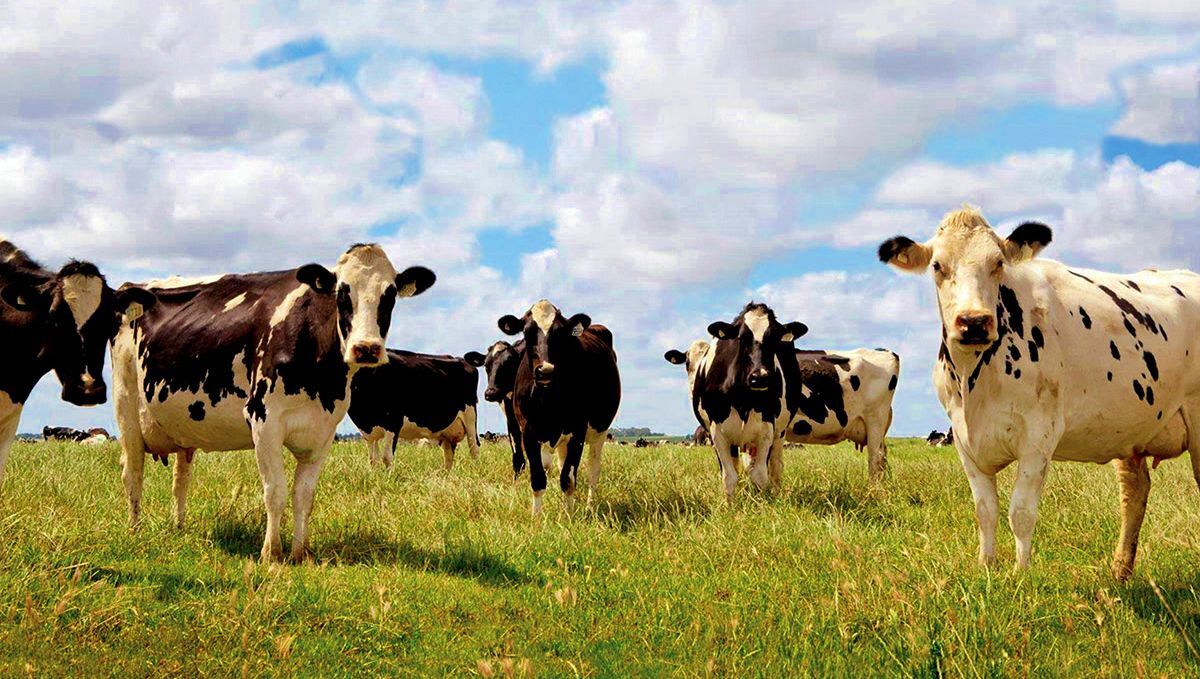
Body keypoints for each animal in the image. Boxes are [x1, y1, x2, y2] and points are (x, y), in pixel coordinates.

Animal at [110, 243, 434, 562]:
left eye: (389, 295)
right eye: (342, 293)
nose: (366, 348)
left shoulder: (324, 430)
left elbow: (304, 496)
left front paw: (301, 553)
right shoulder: (263, 420)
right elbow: (275, 491)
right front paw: (271, 553)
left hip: (181, 426)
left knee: (181, 479)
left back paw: (178, 527)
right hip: (126, 405)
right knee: (132, 472)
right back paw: (135, 530)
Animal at [348, 349, 480, 470]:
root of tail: (461, 360)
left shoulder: (393, 422)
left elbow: (387, 458)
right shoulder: (367, 432)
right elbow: (373, 460)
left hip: (470, 417)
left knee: (474, 448)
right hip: (446, 431)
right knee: (448, 455)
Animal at [496, 300, 620, 514]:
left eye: (561, 333)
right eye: (527, 333)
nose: (545, 370)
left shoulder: (578, 432)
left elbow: (568, 479)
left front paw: (569, 517)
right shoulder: (528, 432)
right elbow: (538, 478)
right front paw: (536, 518)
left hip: (600, 431)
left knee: (593, 468)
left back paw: (588, 506)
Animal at [662, 303, 807, 500]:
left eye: (774, 339)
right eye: (742, 337)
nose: (760, 377)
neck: (743, 400)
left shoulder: (767, 429)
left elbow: (760, 474)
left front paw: (762, 502)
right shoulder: (717, 432)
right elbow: (729, 476)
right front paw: (729, 504)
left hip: (779, 432)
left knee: (775, 466)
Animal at [879, 205, 1200, 580]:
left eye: (998, 263)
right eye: (937, 266)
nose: (974, 322)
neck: (975, 383)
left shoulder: (1038, 436)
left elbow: (1020, 513)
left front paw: (1021, 575)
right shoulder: (963, 439)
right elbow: (985, 511)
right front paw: (986, 567)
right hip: (1131, 428)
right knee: (1135, 491)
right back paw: (1120, 572)